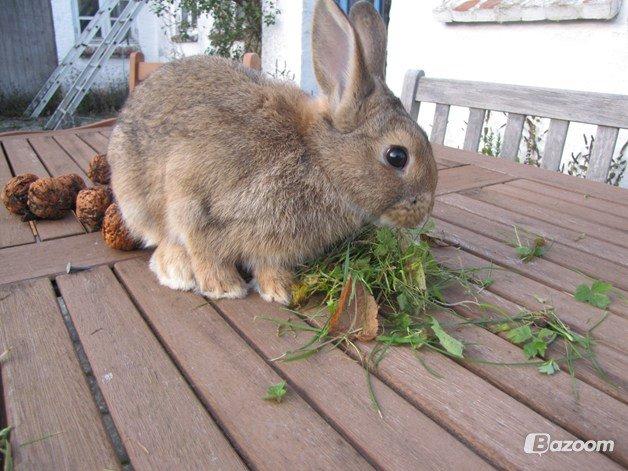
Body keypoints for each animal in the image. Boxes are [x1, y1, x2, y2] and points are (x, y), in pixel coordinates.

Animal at [108, 0, 440, 306]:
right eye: (397, 156)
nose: (422, 213)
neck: (317, 158)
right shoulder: (192, 195)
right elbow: (204, 250)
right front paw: (224, 287)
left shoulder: (271, 246)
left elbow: (268, 263)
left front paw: (281, 290)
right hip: (136, 199)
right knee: (163, 238)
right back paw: (177, 271)